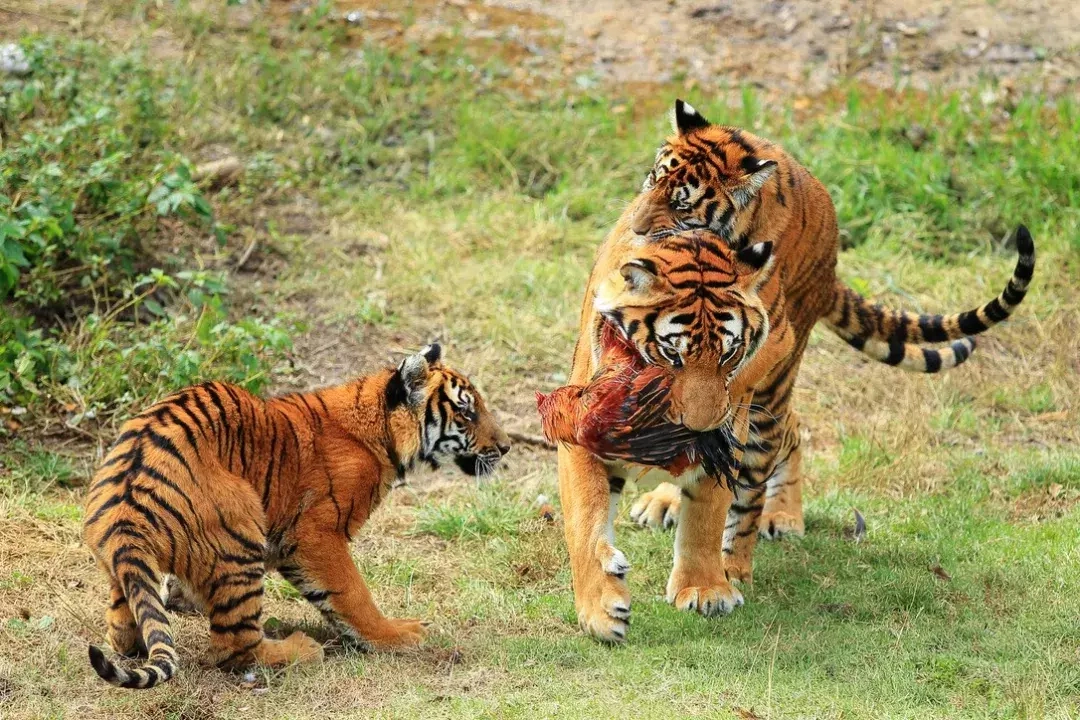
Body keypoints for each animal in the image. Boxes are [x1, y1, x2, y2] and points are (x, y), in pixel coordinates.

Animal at [82, 345, 511, 690]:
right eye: (466, 411)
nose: (506, 447)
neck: (381, 432)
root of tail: (125, 521)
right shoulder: (317, 534)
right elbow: (353, 594)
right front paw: (396, 635)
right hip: (241, 532)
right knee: (232, 647)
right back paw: (300, 649)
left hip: (128, 569)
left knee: (124, 628)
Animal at [561, 99, 1032, 643]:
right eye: (650, 180)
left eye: (682, 205)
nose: (635, 230)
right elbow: (586, 521)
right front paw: (602, 607)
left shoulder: (760, 358)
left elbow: (710, 511)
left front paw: (705, 588)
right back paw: (667, 501)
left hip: (775, 392)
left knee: (773, 456)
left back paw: (754, 544)